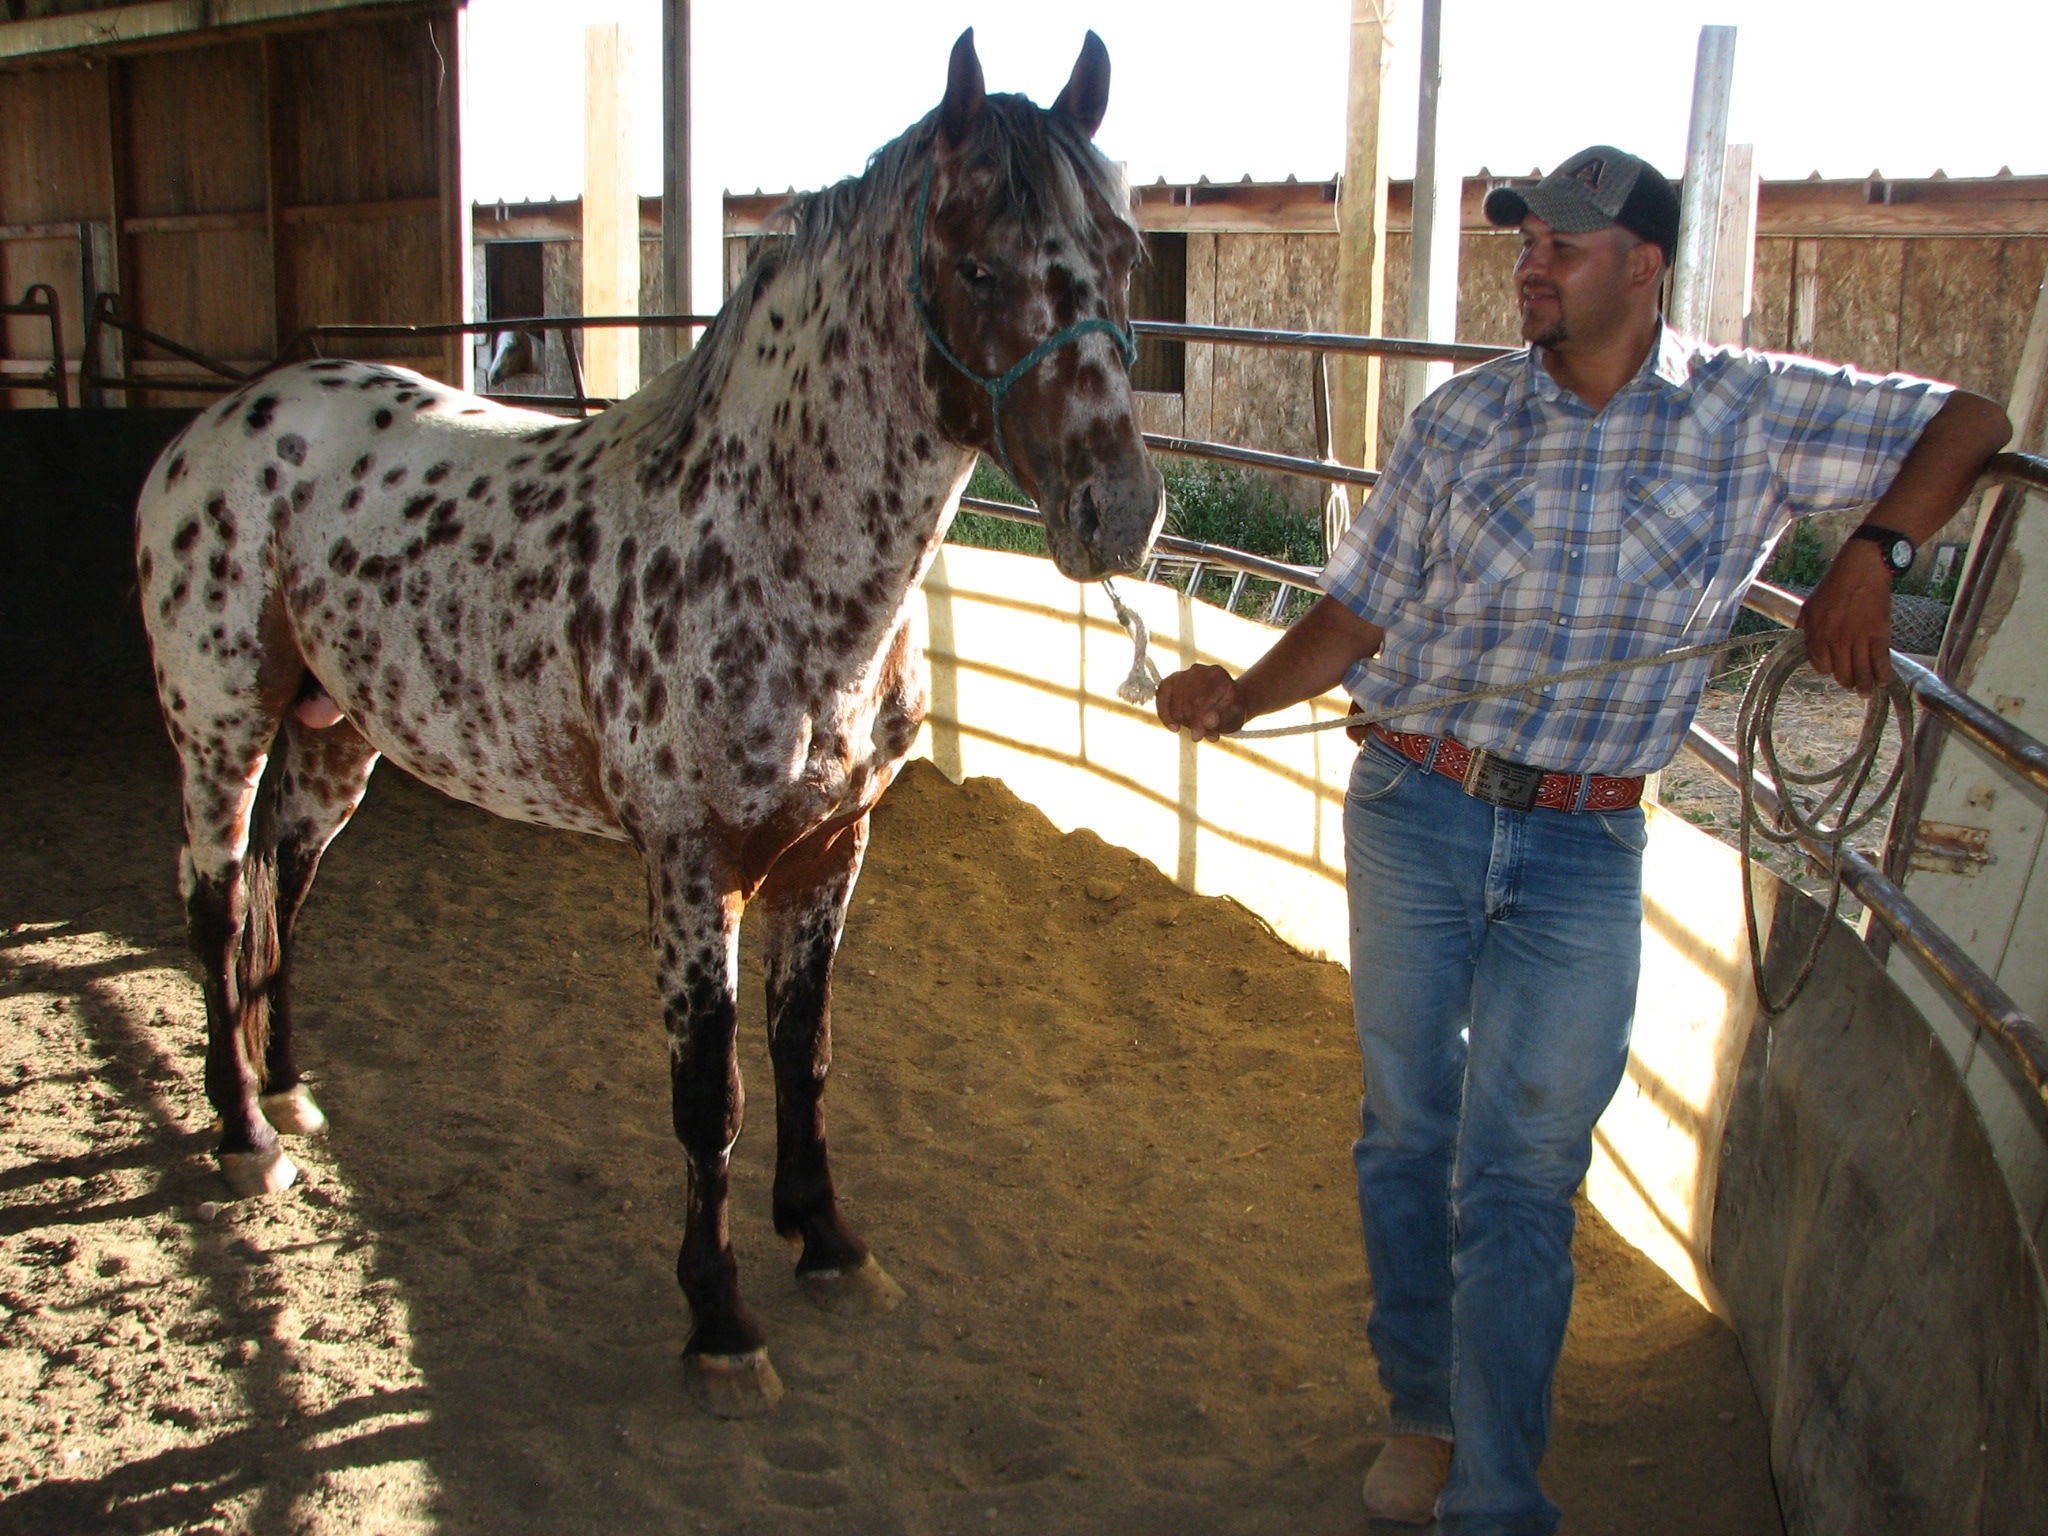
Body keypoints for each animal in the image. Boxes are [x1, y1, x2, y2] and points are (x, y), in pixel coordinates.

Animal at [134, 28, 1163, 1416]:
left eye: (1125, 255)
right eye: (977, 265)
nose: (1119, 510)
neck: (765, 550)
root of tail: (212, 431)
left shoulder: (830, 849)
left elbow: (804, 1051)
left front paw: (825, 1241)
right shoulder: (691, 870)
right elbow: (706, 1095)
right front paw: (718, 1318)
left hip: (338, 734)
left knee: (278, 891)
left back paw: (290, 1097)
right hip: (219, 726)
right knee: (210, 898)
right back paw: (242, 1135)